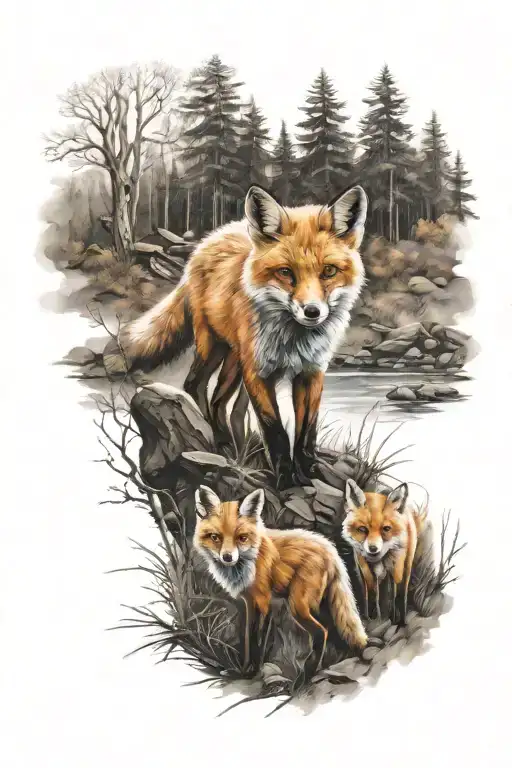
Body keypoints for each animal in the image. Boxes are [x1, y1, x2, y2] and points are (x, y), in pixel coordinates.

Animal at [105, 184, 368, 486]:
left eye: (329, 271)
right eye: (286, 272)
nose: (312, 312)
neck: (293, 341)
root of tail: (207, 242)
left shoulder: (311, 372)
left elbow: (305, 433)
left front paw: (309, 474)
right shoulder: (258, 373)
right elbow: (276, 432)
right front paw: (286, 482)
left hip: (234, 361)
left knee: (220, 401)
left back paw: (229, 445)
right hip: (214, 347)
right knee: (195, 385)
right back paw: (216, 443)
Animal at [193, 485, 368, 668]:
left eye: (242, 538)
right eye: (215, 537)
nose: (227, 557)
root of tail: (330, 548)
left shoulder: (263, 600)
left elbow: (259, 638)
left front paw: (256, 668)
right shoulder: (249, 601)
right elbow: (248, 637)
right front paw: (246, 668)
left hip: (297, 605)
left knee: (321, 632)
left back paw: (310, 672)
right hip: (316, 604)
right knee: (329, 629)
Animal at [342, 479, 427, 625]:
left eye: (386, 529)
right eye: (362, 529)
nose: (373, 548)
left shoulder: (394, 569)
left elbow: (391, 595)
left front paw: (386, 619)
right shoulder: (364, 570)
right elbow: (370, 594)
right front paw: (370, 618)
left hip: (405, 566)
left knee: (401, 593)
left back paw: (400, 619)